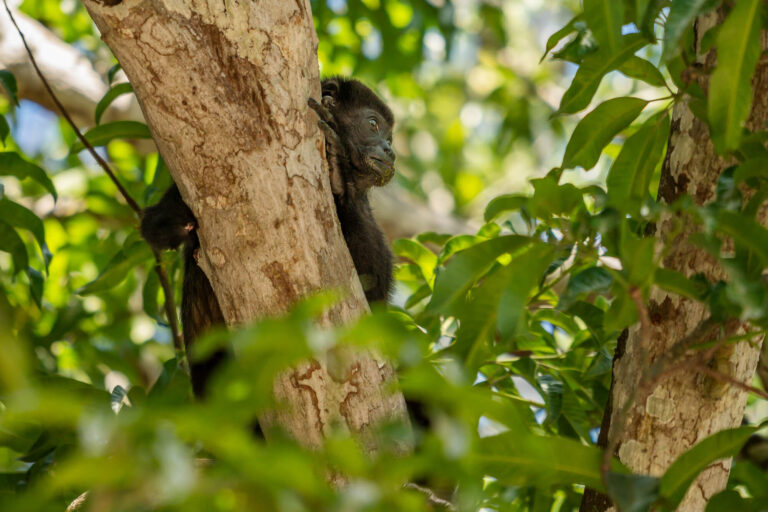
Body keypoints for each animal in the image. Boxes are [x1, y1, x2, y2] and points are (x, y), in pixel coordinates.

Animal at [139, 77, 400, 396]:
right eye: (373, 125)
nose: (390, 150)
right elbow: (154, 228)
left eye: (390, 138)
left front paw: (339, 172)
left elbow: (373, 290)